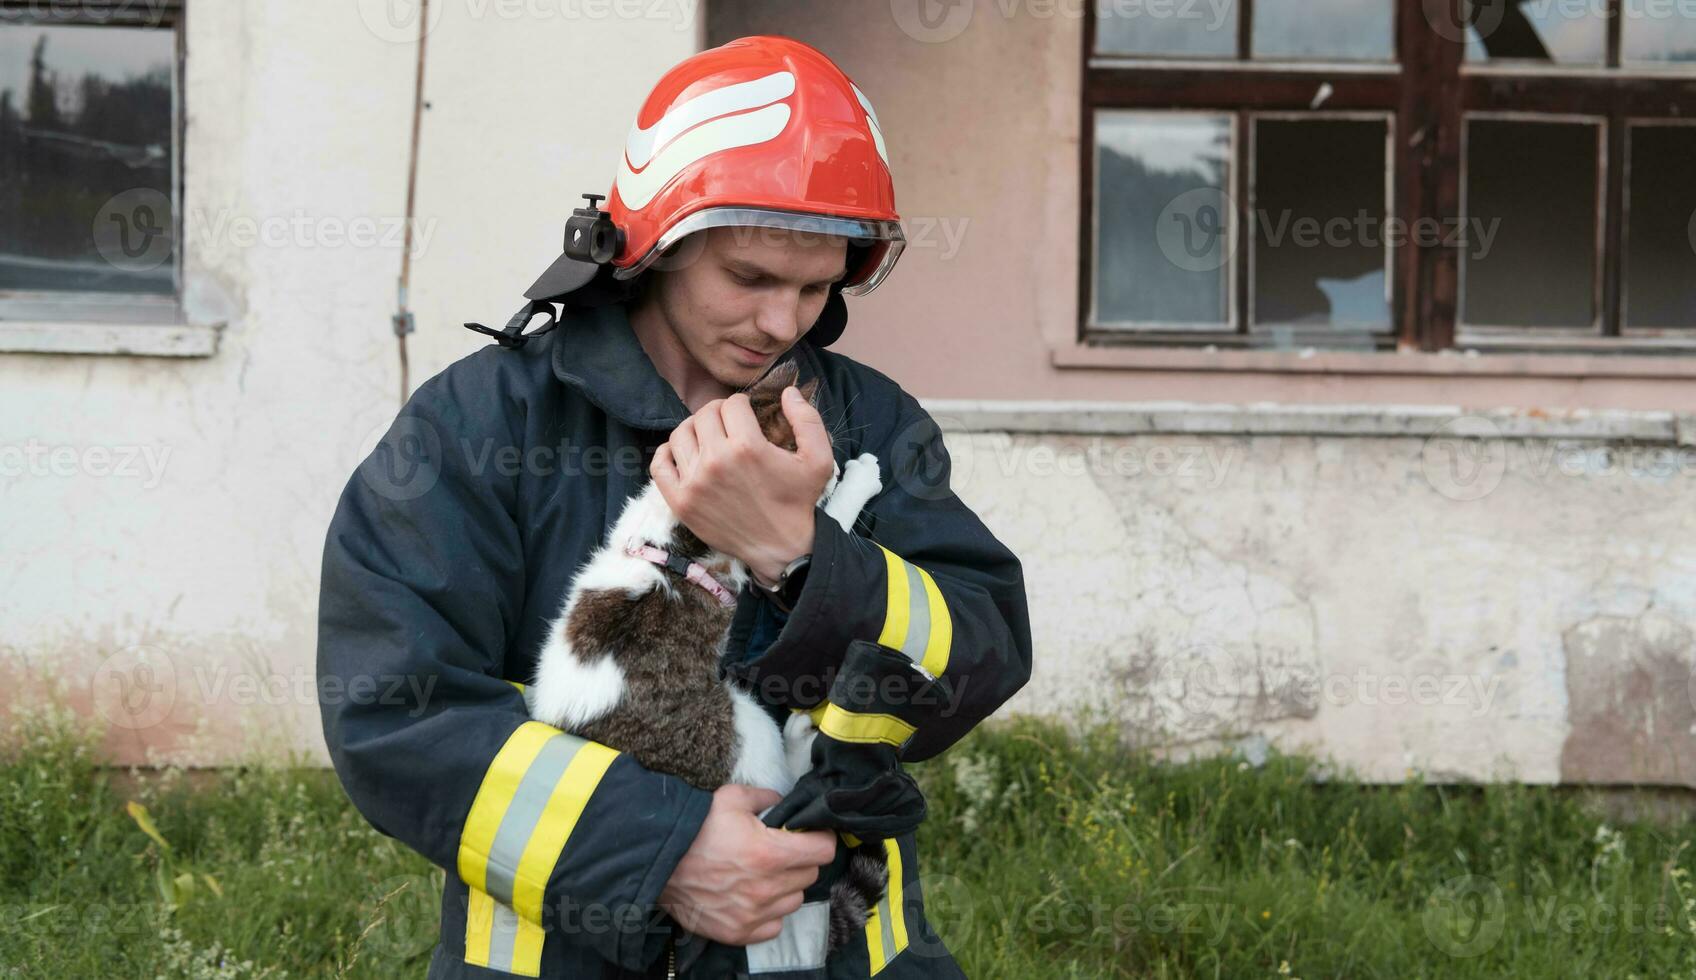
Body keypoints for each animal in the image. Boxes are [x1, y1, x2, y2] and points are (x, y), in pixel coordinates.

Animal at [518, 356, 888, 956]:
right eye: (819, 462)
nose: (833, 469)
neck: (675, 528)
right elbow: (831, 521)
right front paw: (856, 481)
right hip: (742, 726)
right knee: (776, 790)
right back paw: (799, 738)